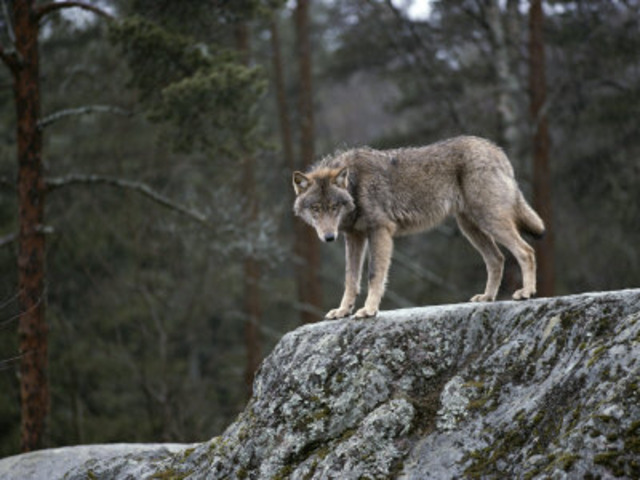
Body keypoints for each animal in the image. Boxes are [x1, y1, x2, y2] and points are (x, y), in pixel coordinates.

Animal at [292, 135, 545, 319]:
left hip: (489, 220)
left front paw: (369, 310)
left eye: (334, 207)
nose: (328, 237)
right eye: (316, 208)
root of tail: (495, 149)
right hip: (470, 227)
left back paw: (526, 293)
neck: (354, 185)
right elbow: (350, 279)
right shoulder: (354, 237)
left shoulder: (380, 232)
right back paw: (487, 297)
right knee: (497, 259)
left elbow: (374, 275)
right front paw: (343, 311)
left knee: (526, 251)